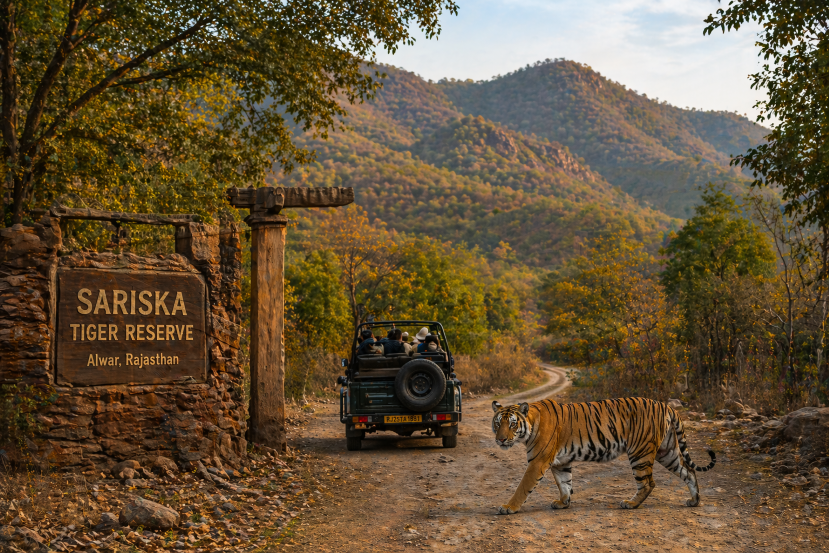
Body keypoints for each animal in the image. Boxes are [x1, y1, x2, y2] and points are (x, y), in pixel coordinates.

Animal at [491, 397, 715, 514]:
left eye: (512, 424)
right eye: (497, 423)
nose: (500, 440)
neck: (530, 425)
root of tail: (666, 405)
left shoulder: (537, 462)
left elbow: (523, 487)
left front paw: (508, 507)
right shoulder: (561, 462)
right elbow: (565, 484)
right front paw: (563, 503)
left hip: (640, 452)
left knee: (648, 483)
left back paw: (631, 504)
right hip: (666, 452)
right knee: (689, 471)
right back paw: (694, 501)